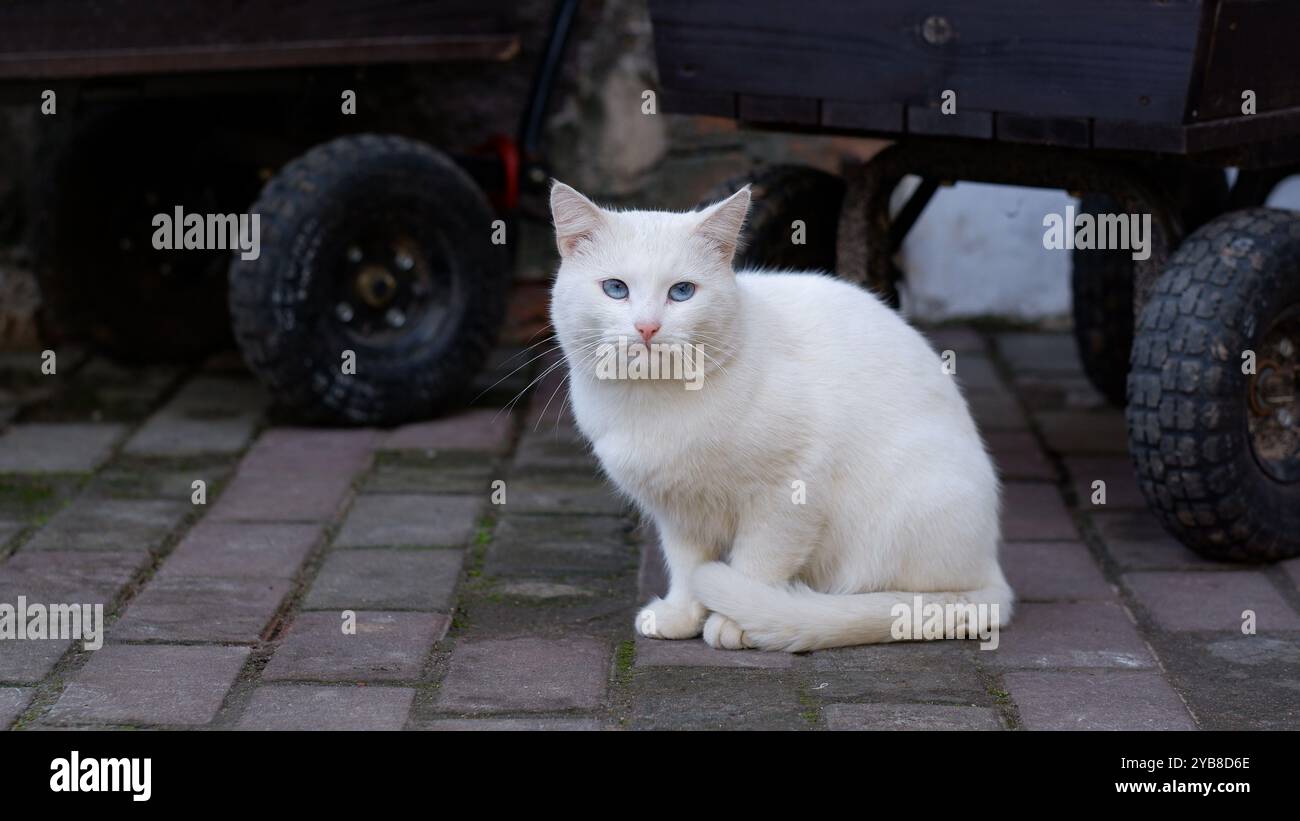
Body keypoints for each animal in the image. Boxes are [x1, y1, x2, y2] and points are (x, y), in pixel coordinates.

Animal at [548, 183, 1013, 652]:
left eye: (681, 292)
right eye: (615, 288)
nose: (647, 327)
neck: (653, 403)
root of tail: (993, 569)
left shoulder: (788, 492)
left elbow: (759, 562)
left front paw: (733, 621)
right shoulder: (677, 511)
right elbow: (685, 565)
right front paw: (682, 613)